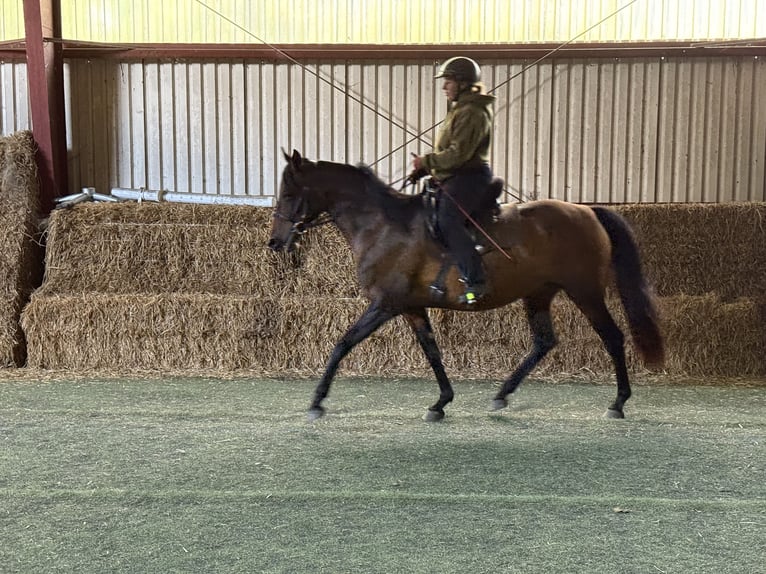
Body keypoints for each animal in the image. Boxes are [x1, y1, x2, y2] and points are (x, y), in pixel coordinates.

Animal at [268, 150, 664, 422]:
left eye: (287, 193)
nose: (274, 242)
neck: (382, 226)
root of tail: (586, 210)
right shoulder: (411, 307)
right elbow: (432, 351)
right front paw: (441, 402)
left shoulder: (385, 304)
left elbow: (343, 343)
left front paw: (317, 401)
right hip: (539, 293)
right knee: (544, 342)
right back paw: (502, 395)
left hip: (585, 291)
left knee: (612, 337)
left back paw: (618, 403)